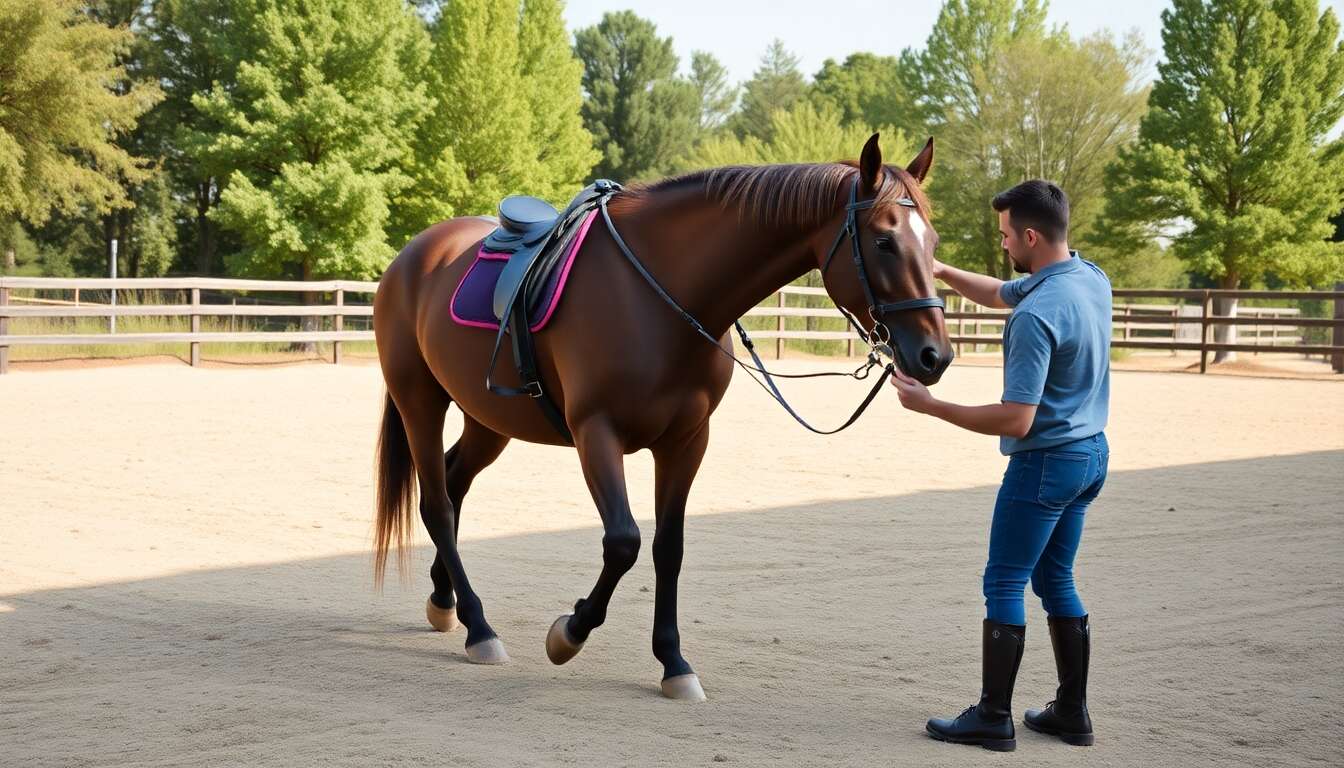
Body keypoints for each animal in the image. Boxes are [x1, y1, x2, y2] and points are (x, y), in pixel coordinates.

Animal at [372, 133, 953, 701]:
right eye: (884, 241)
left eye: (933, 244)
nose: (935, 356)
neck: (660, 293)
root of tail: (413, 257)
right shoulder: (596, 432)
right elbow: (624, 542)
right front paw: (569, 633)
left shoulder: (687, 440)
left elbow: (668, 548)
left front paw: (673, 662)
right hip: (419, 401)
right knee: (437, 504)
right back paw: (479, 627)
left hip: (489, 420)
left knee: (454, 483)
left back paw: (445, 601)